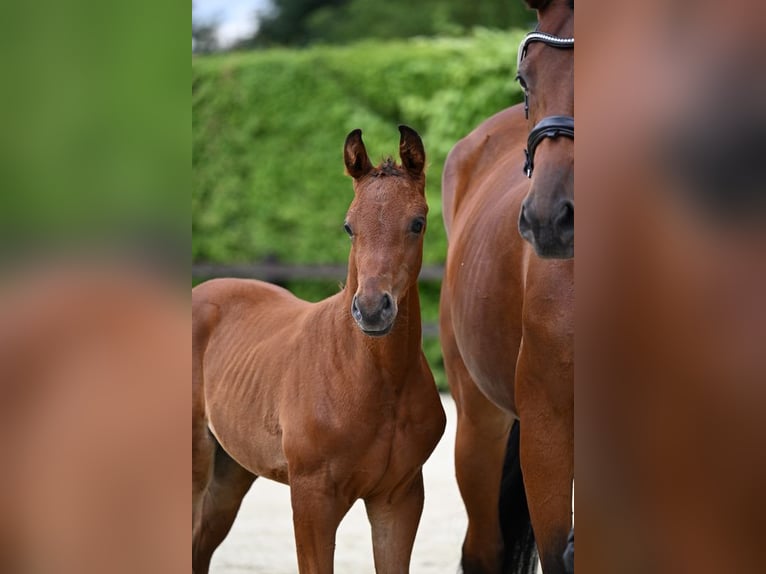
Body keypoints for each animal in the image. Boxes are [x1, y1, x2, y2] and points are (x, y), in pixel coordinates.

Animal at [190, 127, 450, 574]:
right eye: (349, 226)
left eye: (417, 223)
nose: (372, 309)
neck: (376, 381)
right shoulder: (313, 498)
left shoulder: (398, 498)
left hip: (230, 472)